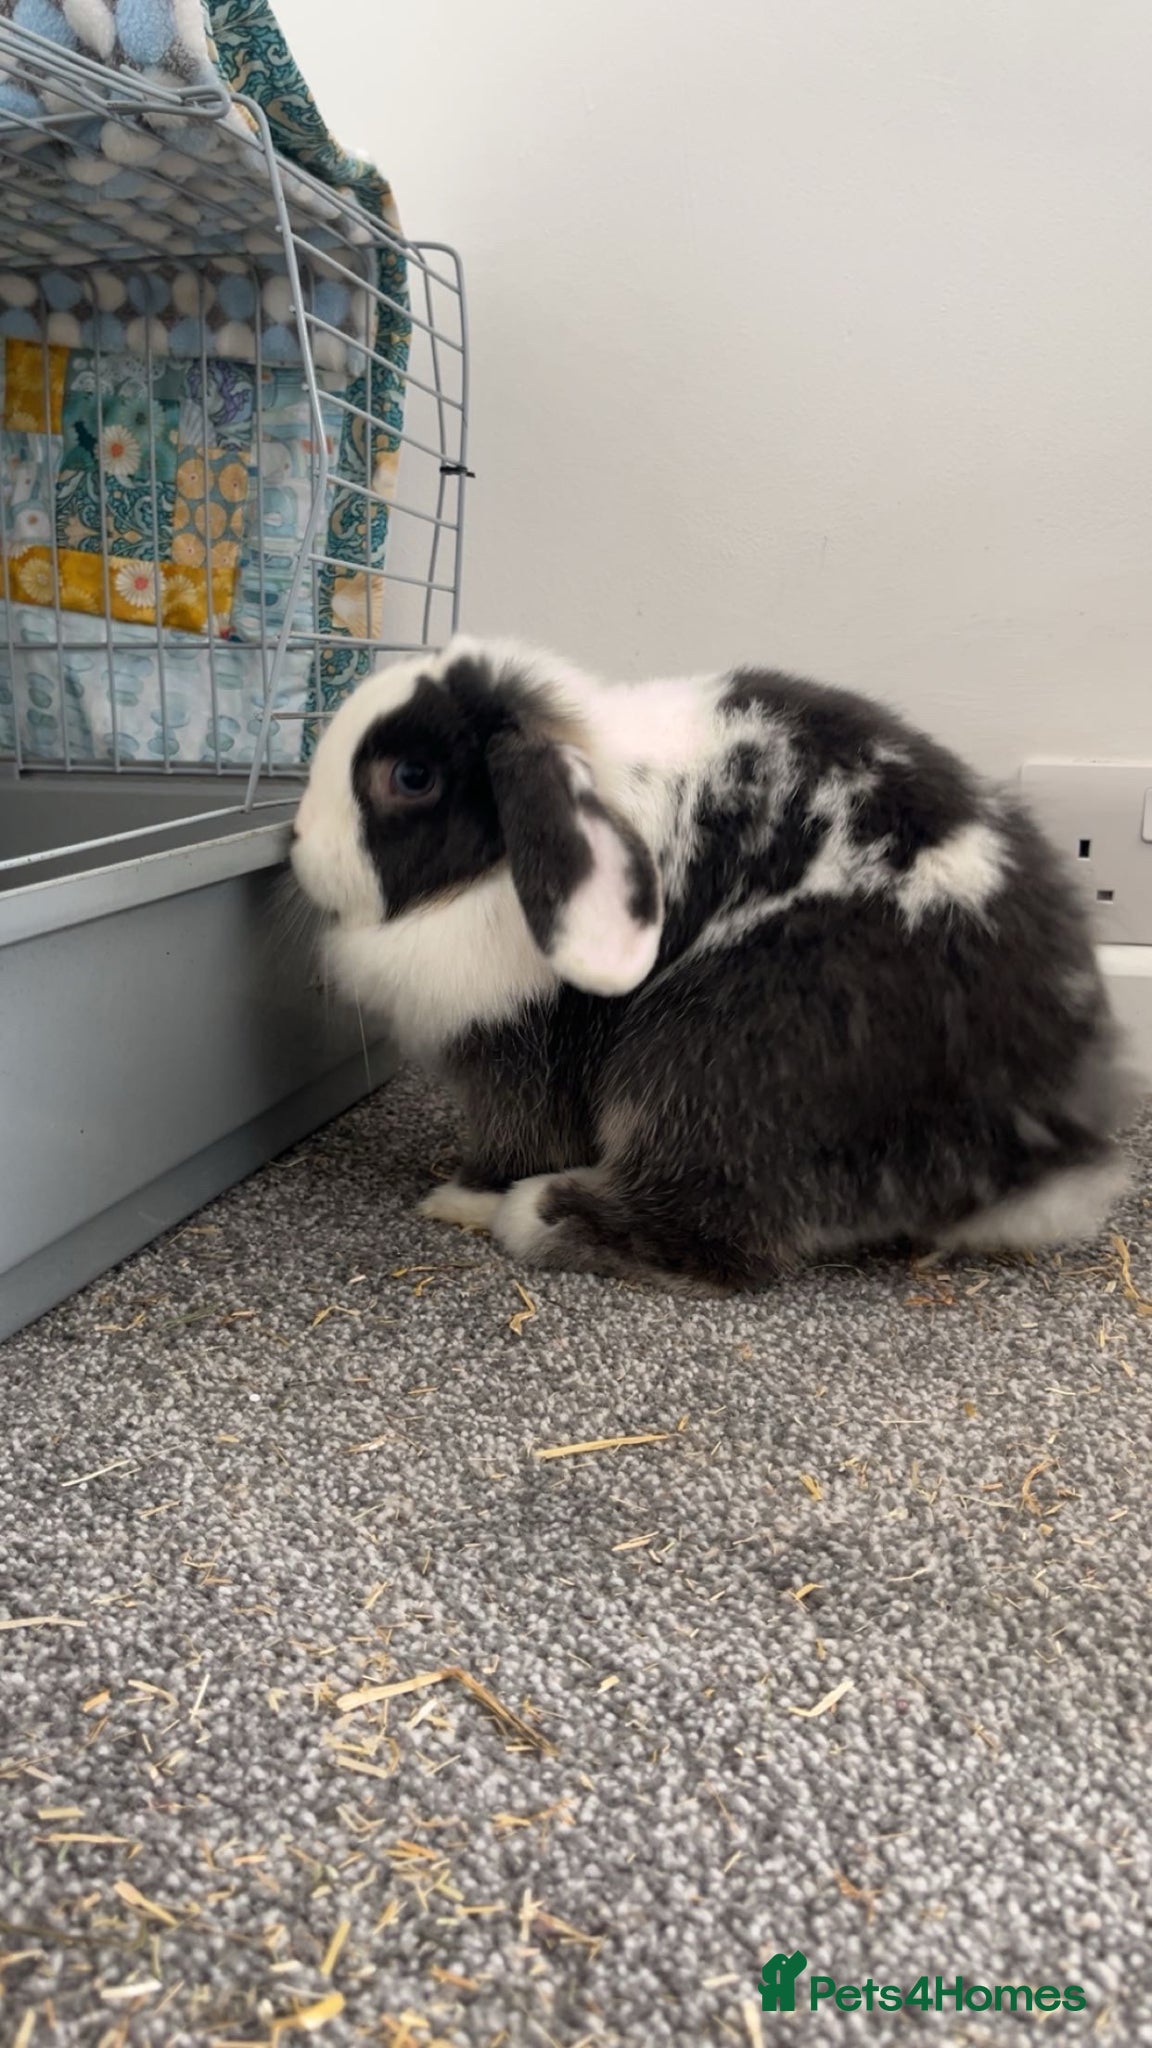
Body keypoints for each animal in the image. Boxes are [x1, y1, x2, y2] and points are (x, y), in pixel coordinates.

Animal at [290, 634, 1134, 1289]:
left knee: (723, 1241)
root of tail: (1039, 1150)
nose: (296, 846)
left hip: (715, 1052)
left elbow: (517, 1134)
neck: (492, 872)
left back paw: (540, 1214)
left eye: (411, 778)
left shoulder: (528, 1053)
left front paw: (458, 1198)